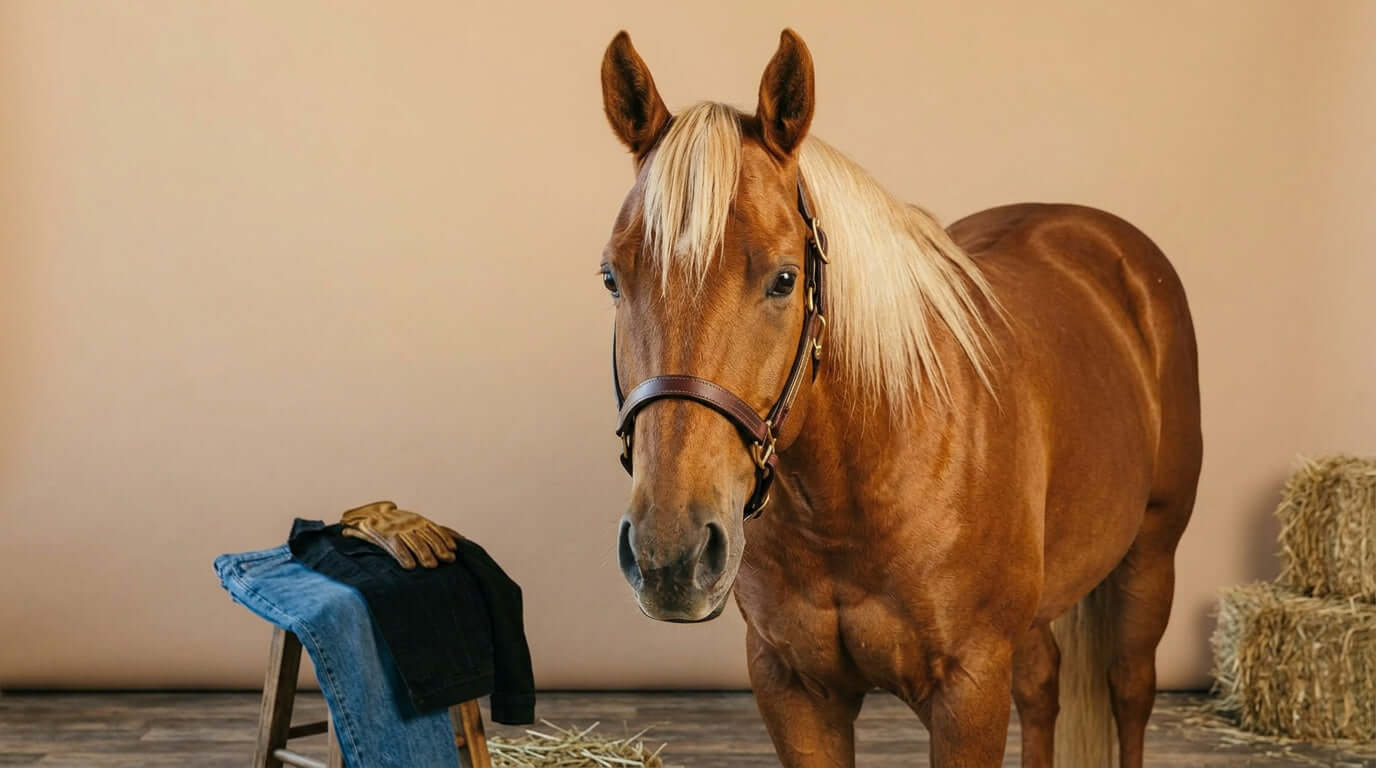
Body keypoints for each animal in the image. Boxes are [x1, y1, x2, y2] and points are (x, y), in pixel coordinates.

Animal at [598, 29, 1201, 768]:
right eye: (612, 277)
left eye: (784, 278)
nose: (671, 555)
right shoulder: (793, 688)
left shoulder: (969, 689)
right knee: (1043, 686)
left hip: (1151, 556)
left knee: (1129, 691)